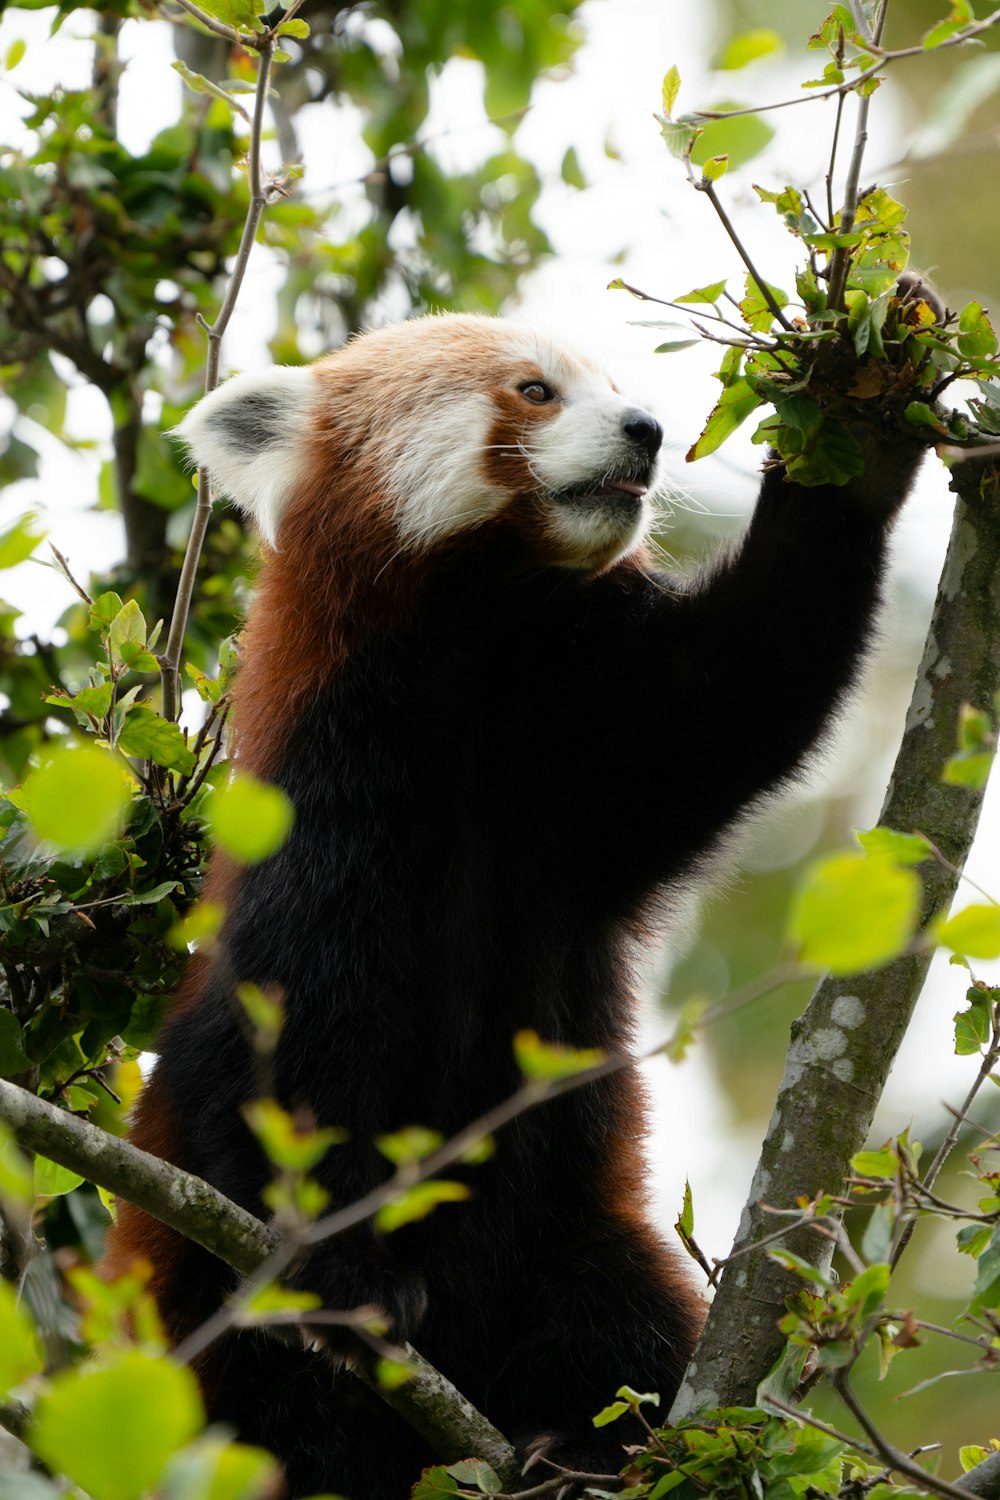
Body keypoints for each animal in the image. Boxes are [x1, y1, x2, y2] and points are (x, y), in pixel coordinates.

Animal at [105, 313, 929, 1500]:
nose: (647, 428)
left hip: (575, 1237)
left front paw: (852, 435)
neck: (480, 671)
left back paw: (586, 1448)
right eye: (536, 391)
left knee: (620, 1318)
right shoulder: (325, 820)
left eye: (618, 383)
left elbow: (745, 682)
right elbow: (280, 1071)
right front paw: (347, 1278)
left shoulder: (583, 779)